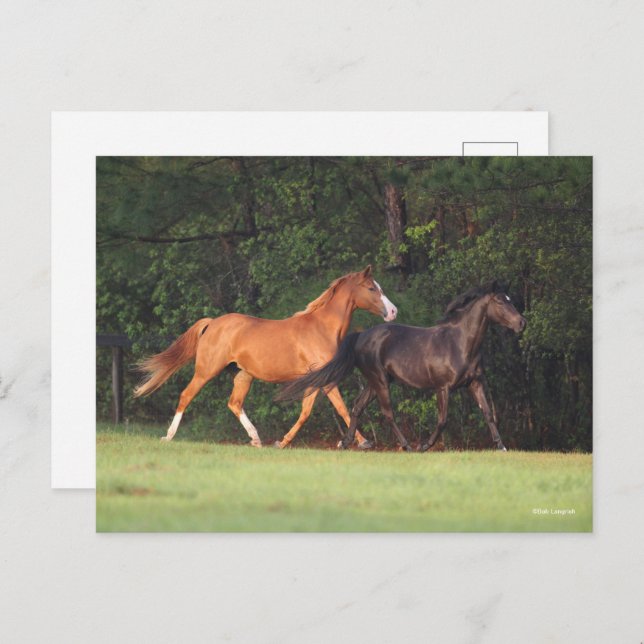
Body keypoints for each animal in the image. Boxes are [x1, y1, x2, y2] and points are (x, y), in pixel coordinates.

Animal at [133, 266, 398, 448]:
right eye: (372, 288)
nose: (393, 311)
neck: (321, 328)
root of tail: (213, 323)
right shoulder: (325, 379)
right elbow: (340, 408)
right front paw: (362, 442)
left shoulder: (315, 379)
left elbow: (307, 412)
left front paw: (282, 442)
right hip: (206, 371)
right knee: (186, 396)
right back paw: (168, 436)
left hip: (243, 375)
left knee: (234, 403)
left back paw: (256, 438)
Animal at [277, 280, 525, 452]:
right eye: (500, 301)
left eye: (510, 299)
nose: (521, 323)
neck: (460, 343)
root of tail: (361, 336)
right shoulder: (443, 388)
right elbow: (442, 420)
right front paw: (424, 446)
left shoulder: (475, 383)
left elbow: (488, 413)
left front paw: (501, 446)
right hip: (380, 381)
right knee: (387, 413)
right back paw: (406, 445)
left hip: (374, 382)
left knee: (357, 407)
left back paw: (346, 442)